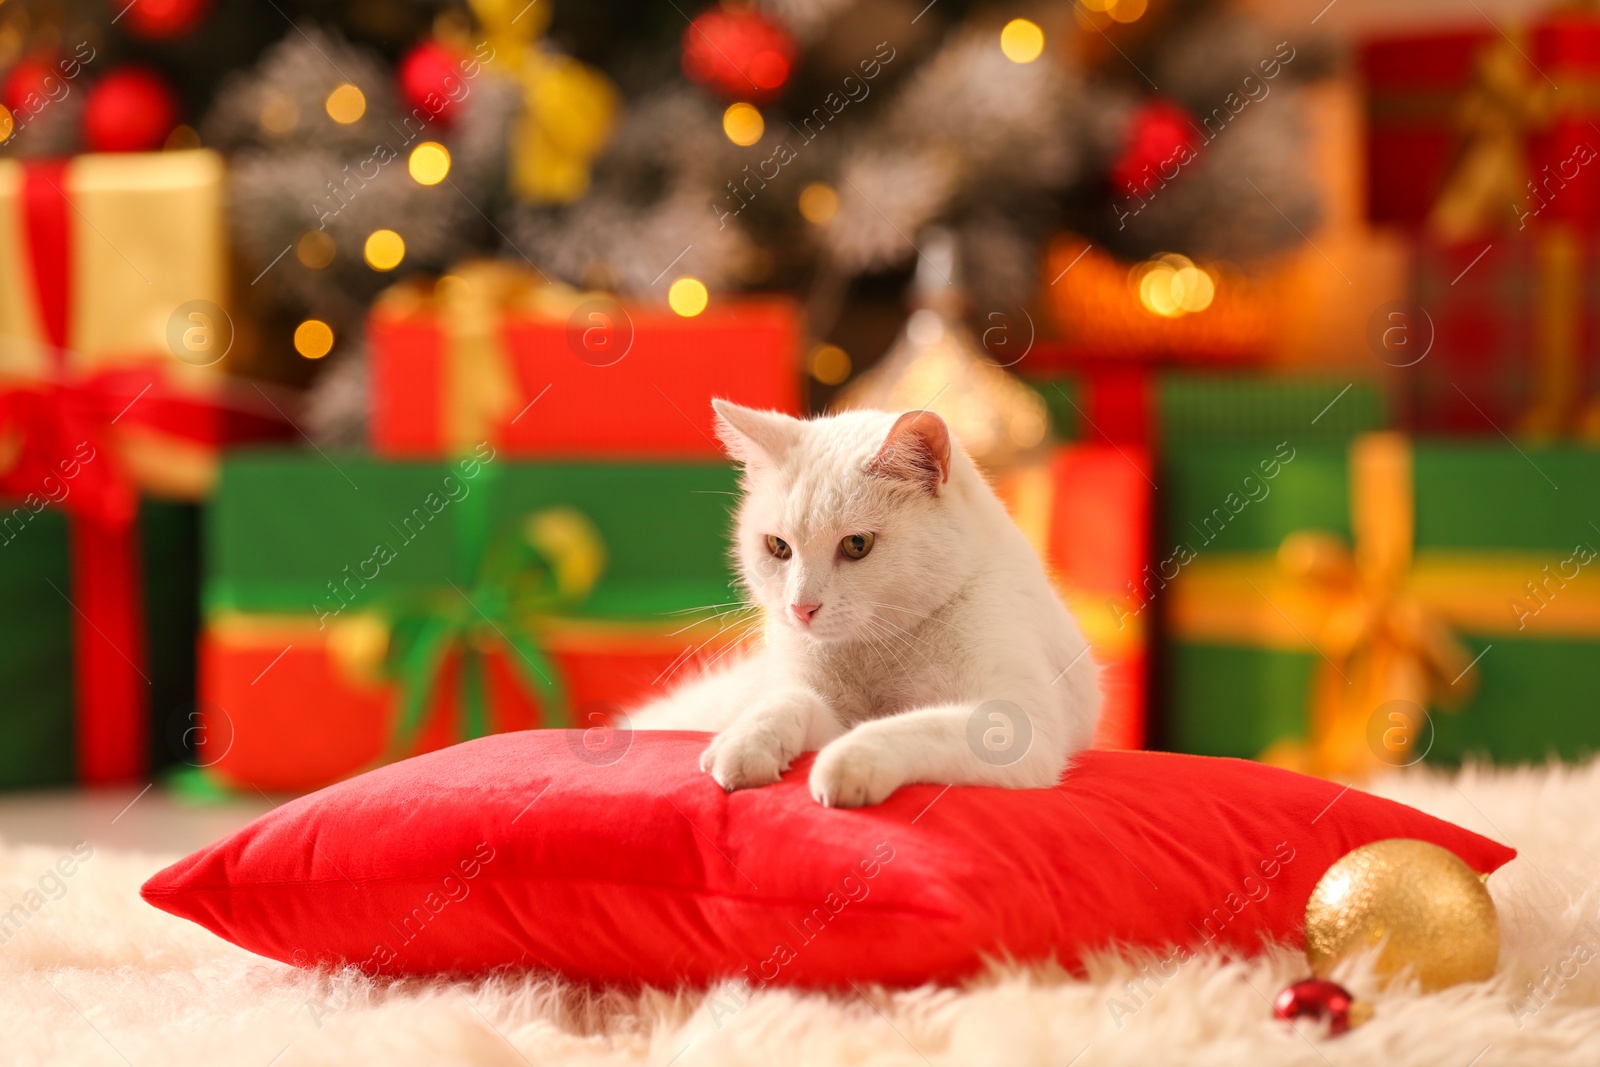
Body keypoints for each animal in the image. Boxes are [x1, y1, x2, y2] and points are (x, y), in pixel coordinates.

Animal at [624, 399, 1100, 809]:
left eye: (857, 545)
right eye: (778, 547)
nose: (800, 608)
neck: (875, 648)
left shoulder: (1011, 725)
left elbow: (913, 726)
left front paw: (847, 762)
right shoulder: (819, 703)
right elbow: (789, 701)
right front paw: (746, 741)